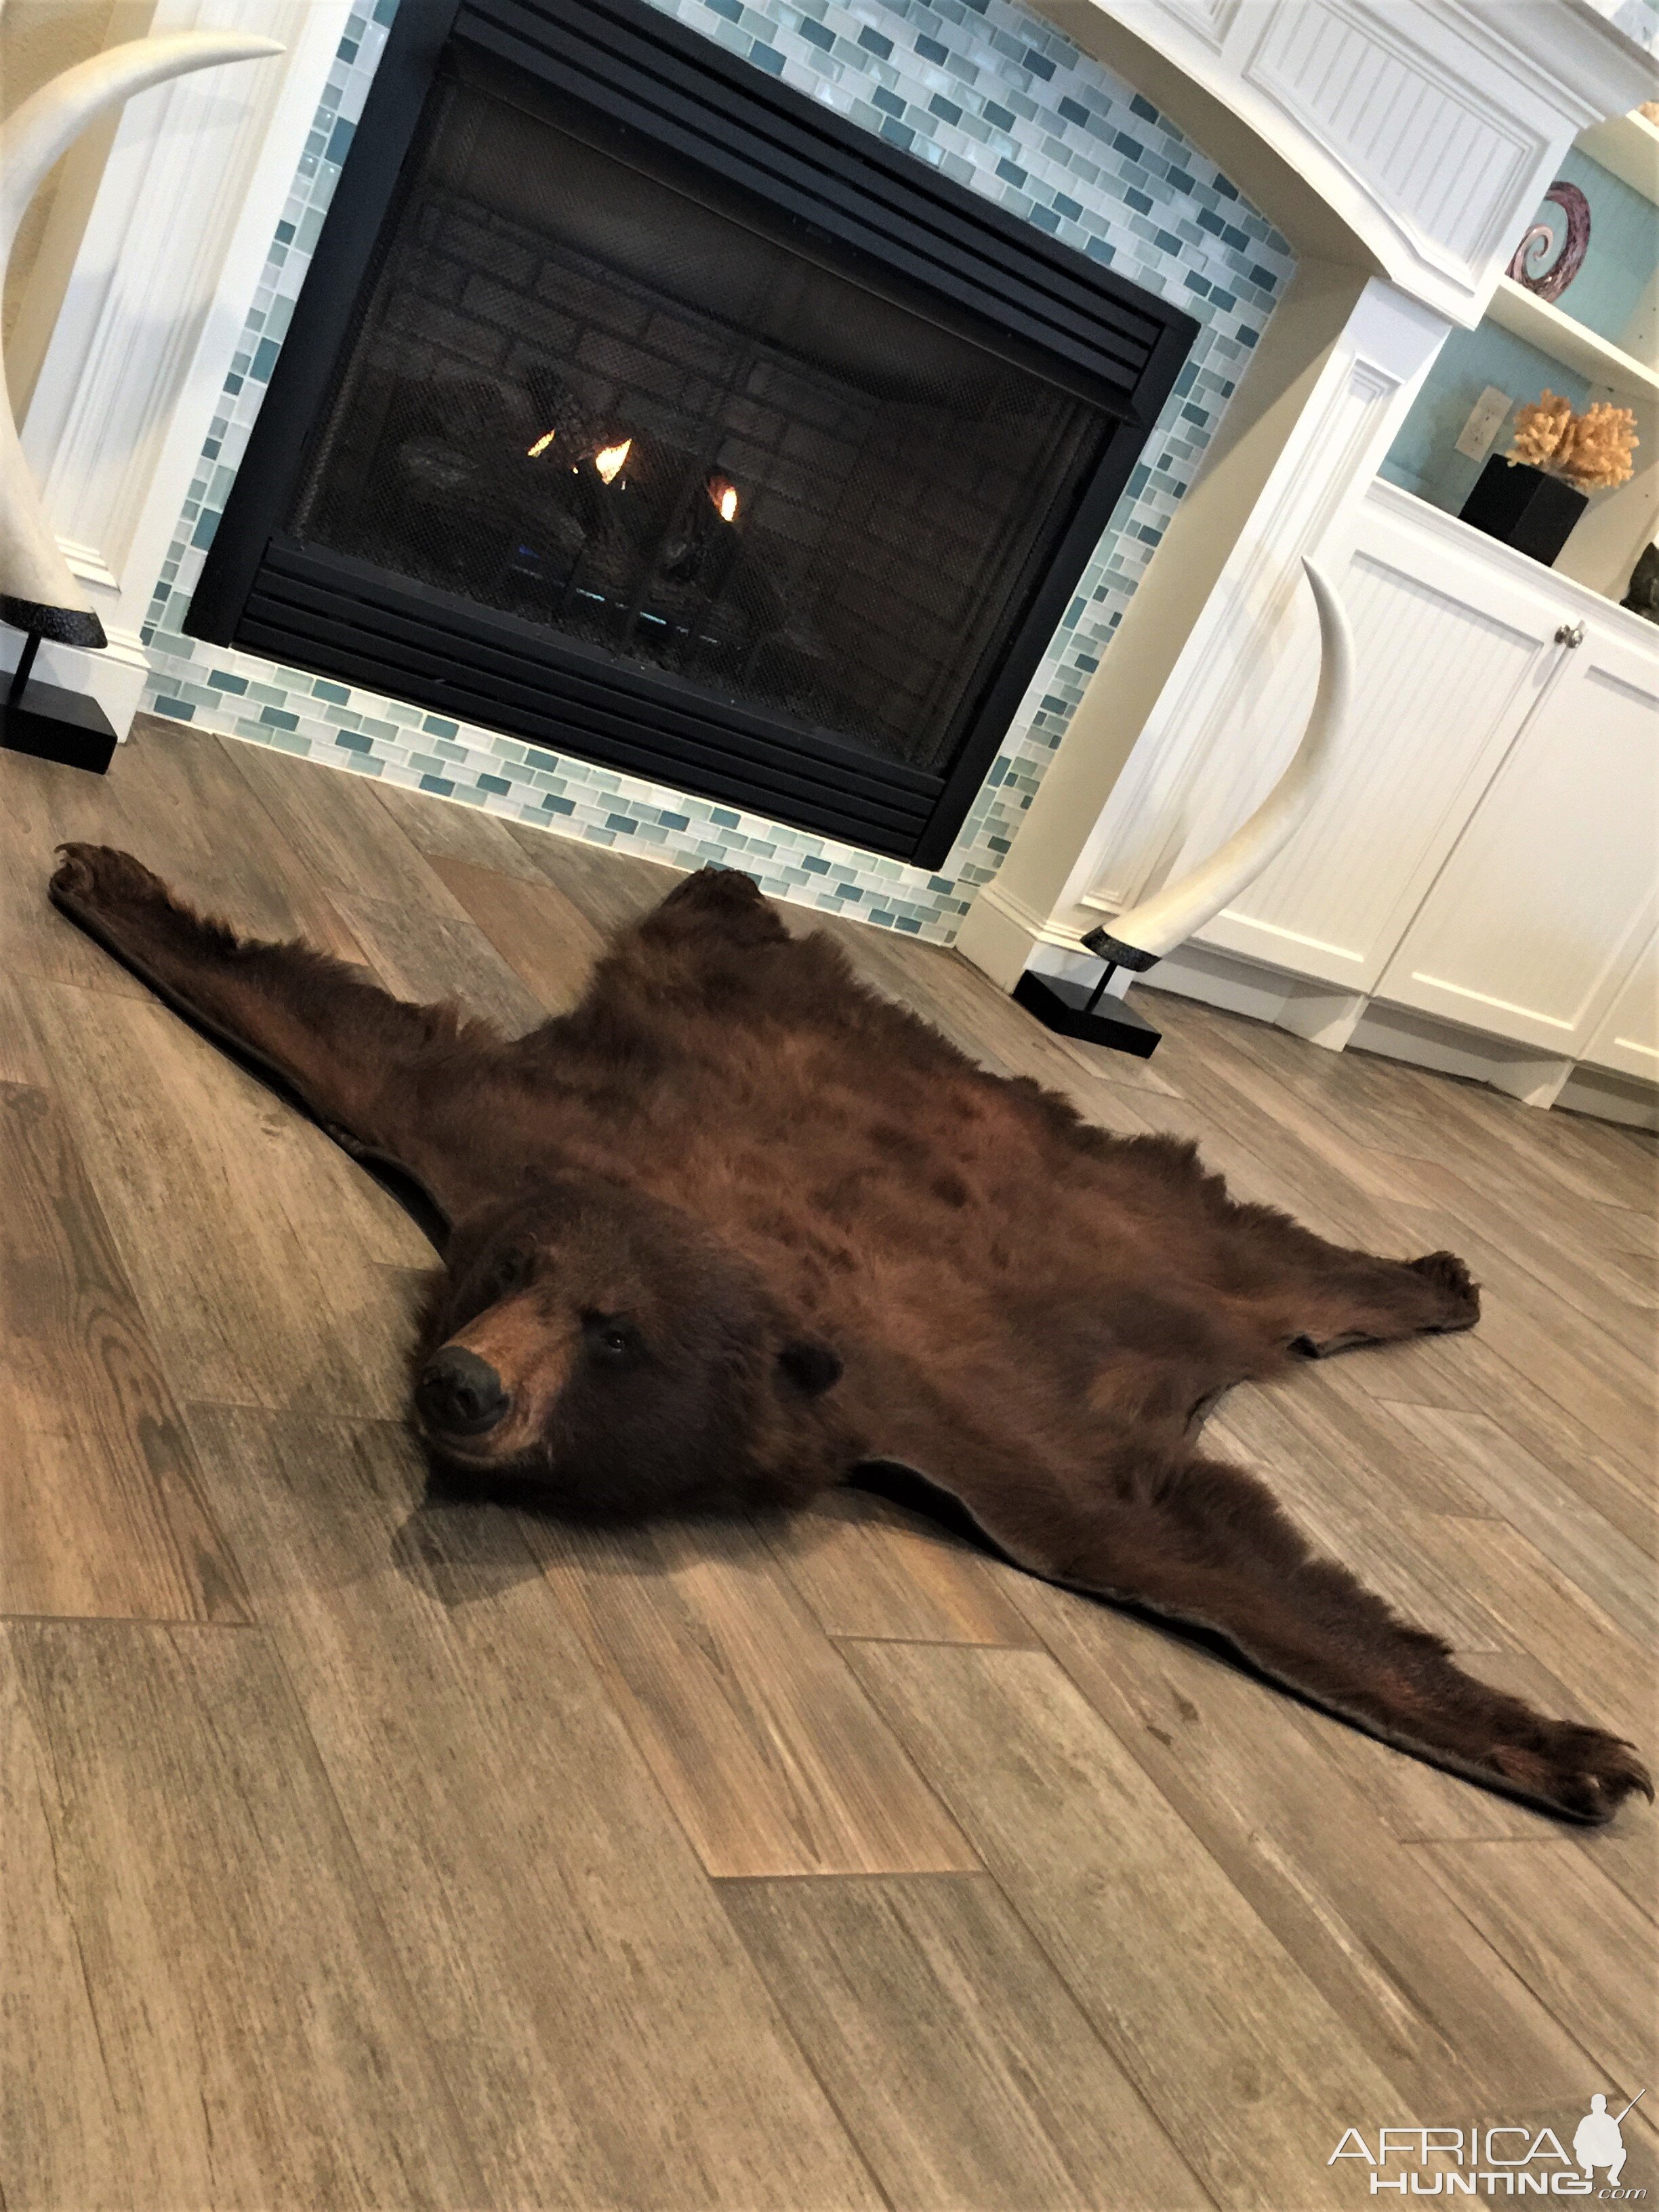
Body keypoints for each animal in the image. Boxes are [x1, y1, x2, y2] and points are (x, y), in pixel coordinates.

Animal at [47, 841, 1652, 1826]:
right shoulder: (492, 1136)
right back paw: (726, 878)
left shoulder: (996, 1435)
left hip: (1166, 1249)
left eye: (614, 1335)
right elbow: (346, 1042)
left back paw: (1435, 1276)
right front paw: (108, 875)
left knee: (1280, 1273)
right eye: (506, 1272)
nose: (465, 1382)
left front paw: (1570, 1748)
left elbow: (1183, 1552)